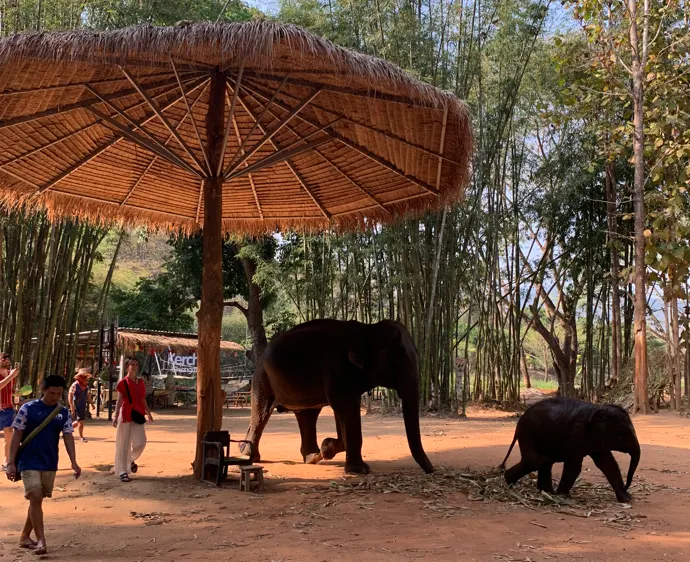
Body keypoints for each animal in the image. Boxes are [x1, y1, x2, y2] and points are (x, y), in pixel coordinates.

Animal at [240, 319, 434, 475]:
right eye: (395, 358)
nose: (431, 471)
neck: (367, 328)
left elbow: (345, 409)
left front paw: (327, 449)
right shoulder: (337, 368)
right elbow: (345, 407)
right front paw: (357, 469)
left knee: (307, 415)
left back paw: (312, 457)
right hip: (261, 377)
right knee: (261, 414)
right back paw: (248, 454)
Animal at [500, 397, 640, 503]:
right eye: (621, 435)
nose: (627, 487)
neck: (596, 409)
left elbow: (608, 464)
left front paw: (627, 500)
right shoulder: (577, 434)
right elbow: (574, 465)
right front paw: (562, 496)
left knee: (544, 461)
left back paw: (547, 492)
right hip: (527, 431)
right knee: (534, 461)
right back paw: (509, 482)